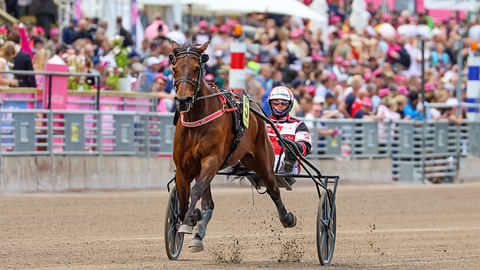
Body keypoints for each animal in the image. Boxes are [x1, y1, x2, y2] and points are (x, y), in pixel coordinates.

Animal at [171, 41, 294, 252]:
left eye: (196, 68)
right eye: (174, 68)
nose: (183, 101)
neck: (197, 121)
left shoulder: (212, 160)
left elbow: (195, 192)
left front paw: (188, 222)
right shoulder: (183, 168)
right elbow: (183, 201)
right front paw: (191, 218)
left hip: (262, 161)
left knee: (273, 189)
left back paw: (287, 218)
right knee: (208, 203)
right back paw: (198, 235)